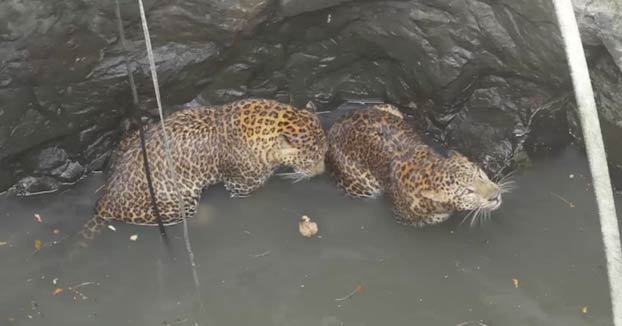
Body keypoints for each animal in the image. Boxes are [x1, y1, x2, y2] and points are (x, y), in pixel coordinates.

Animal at [78, 97, 330, 239]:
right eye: (311, 160)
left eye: (326, 152)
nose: (321, 172)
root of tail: (106, 198)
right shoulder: (241, 186)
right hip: (174, 203)